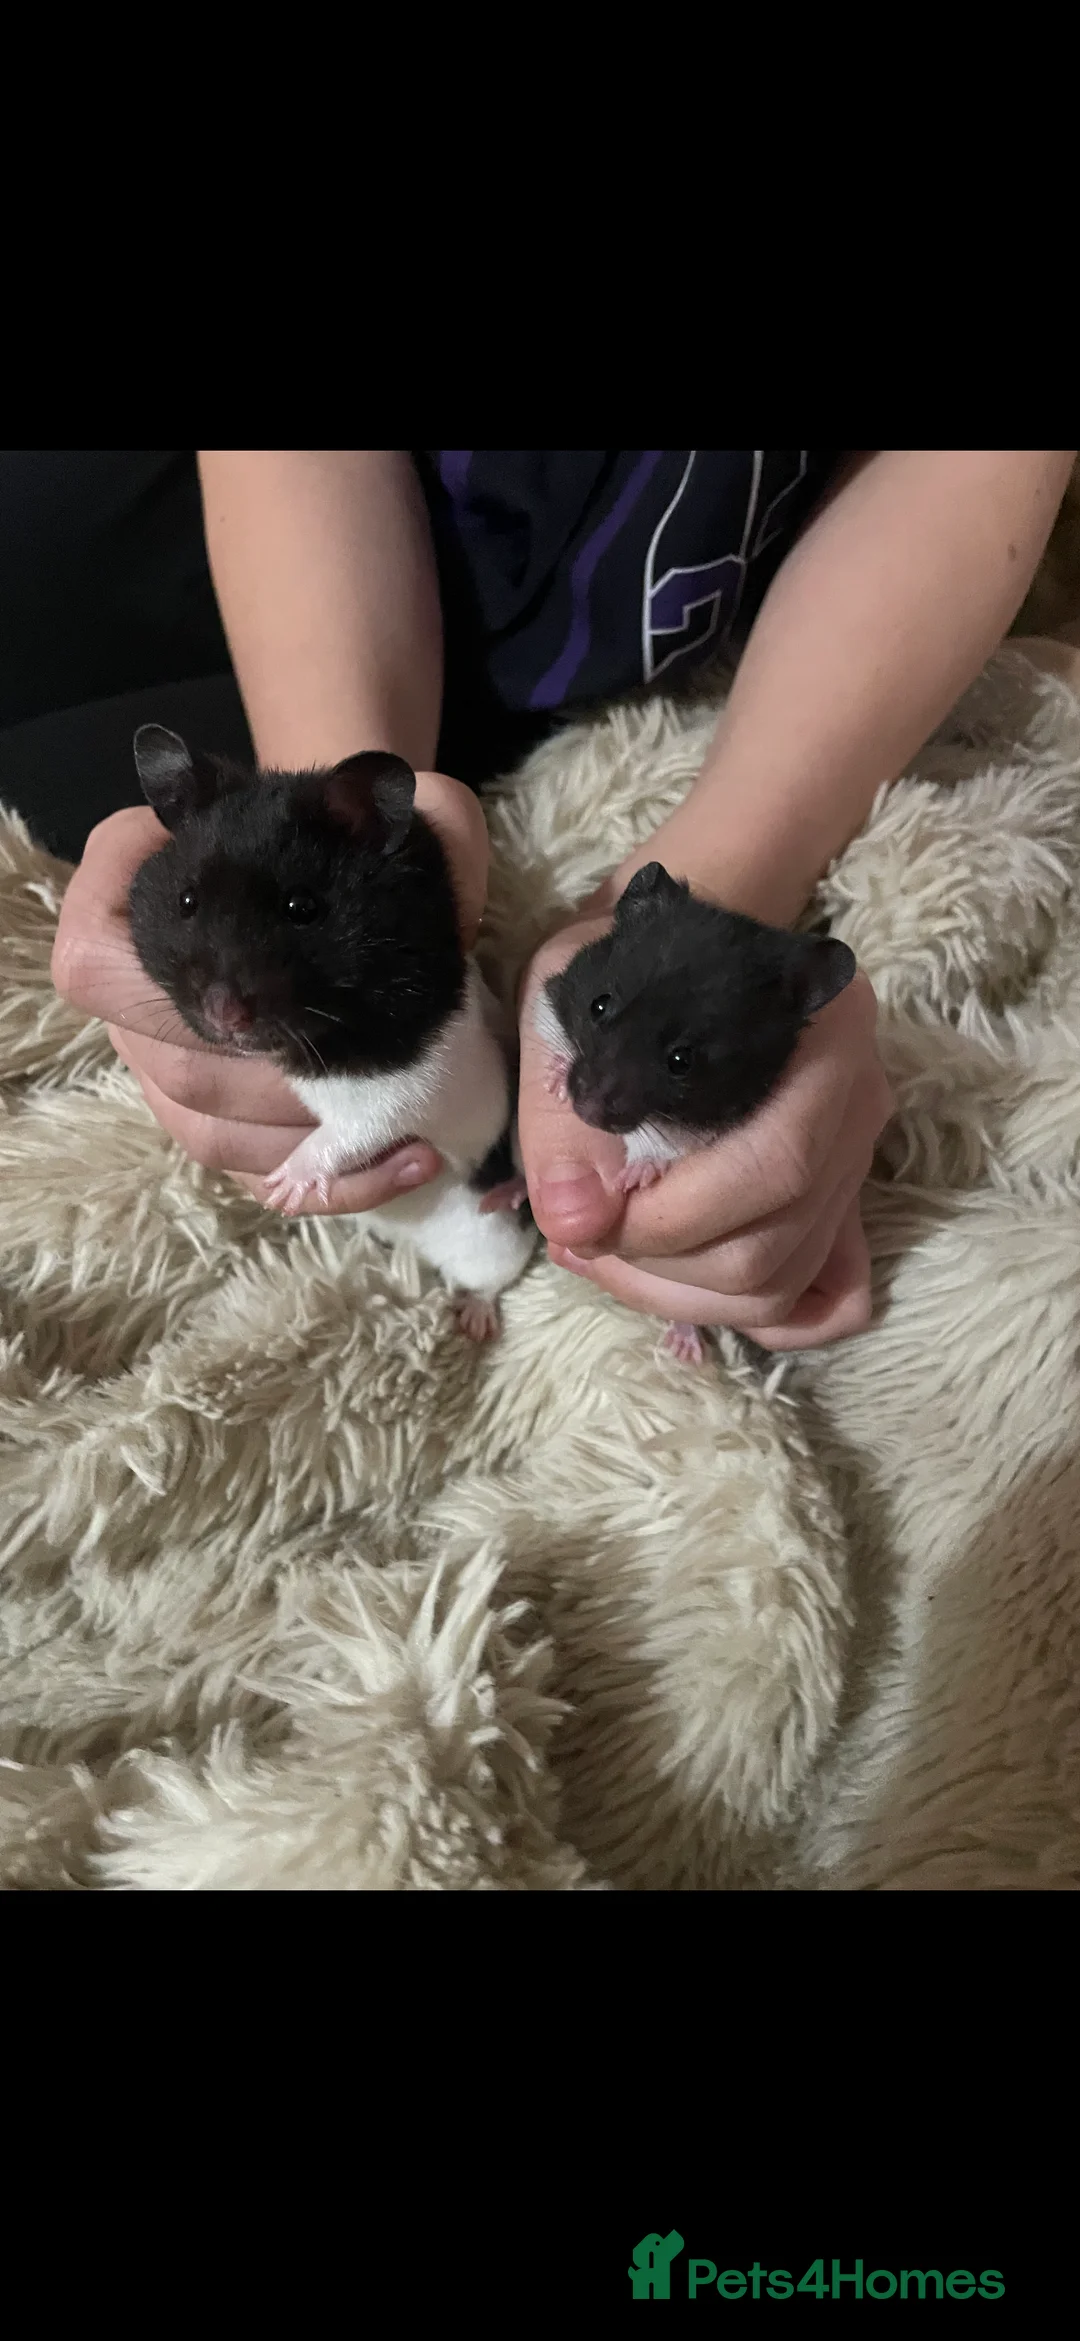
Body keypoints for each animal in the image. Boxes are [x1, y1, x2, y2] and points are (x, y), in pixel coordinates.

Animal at [127, 725, 536, 1340]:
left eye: (302, 907)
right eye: (186, 901)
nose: (224, 1016)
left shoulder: (409, 1088)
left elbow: (349, 1132)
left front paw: (281, 1189)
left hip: (490, 1239)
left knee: (499, 1273)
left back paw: (473, 1318)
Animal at [535, 860, 856, 1364]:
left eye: (681, 1061)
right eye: (599, 1006)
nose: (585, 1111)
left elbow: (666, 1149)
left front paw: (634, 1178)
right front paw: (552, 1078)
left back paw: (683, 1351)